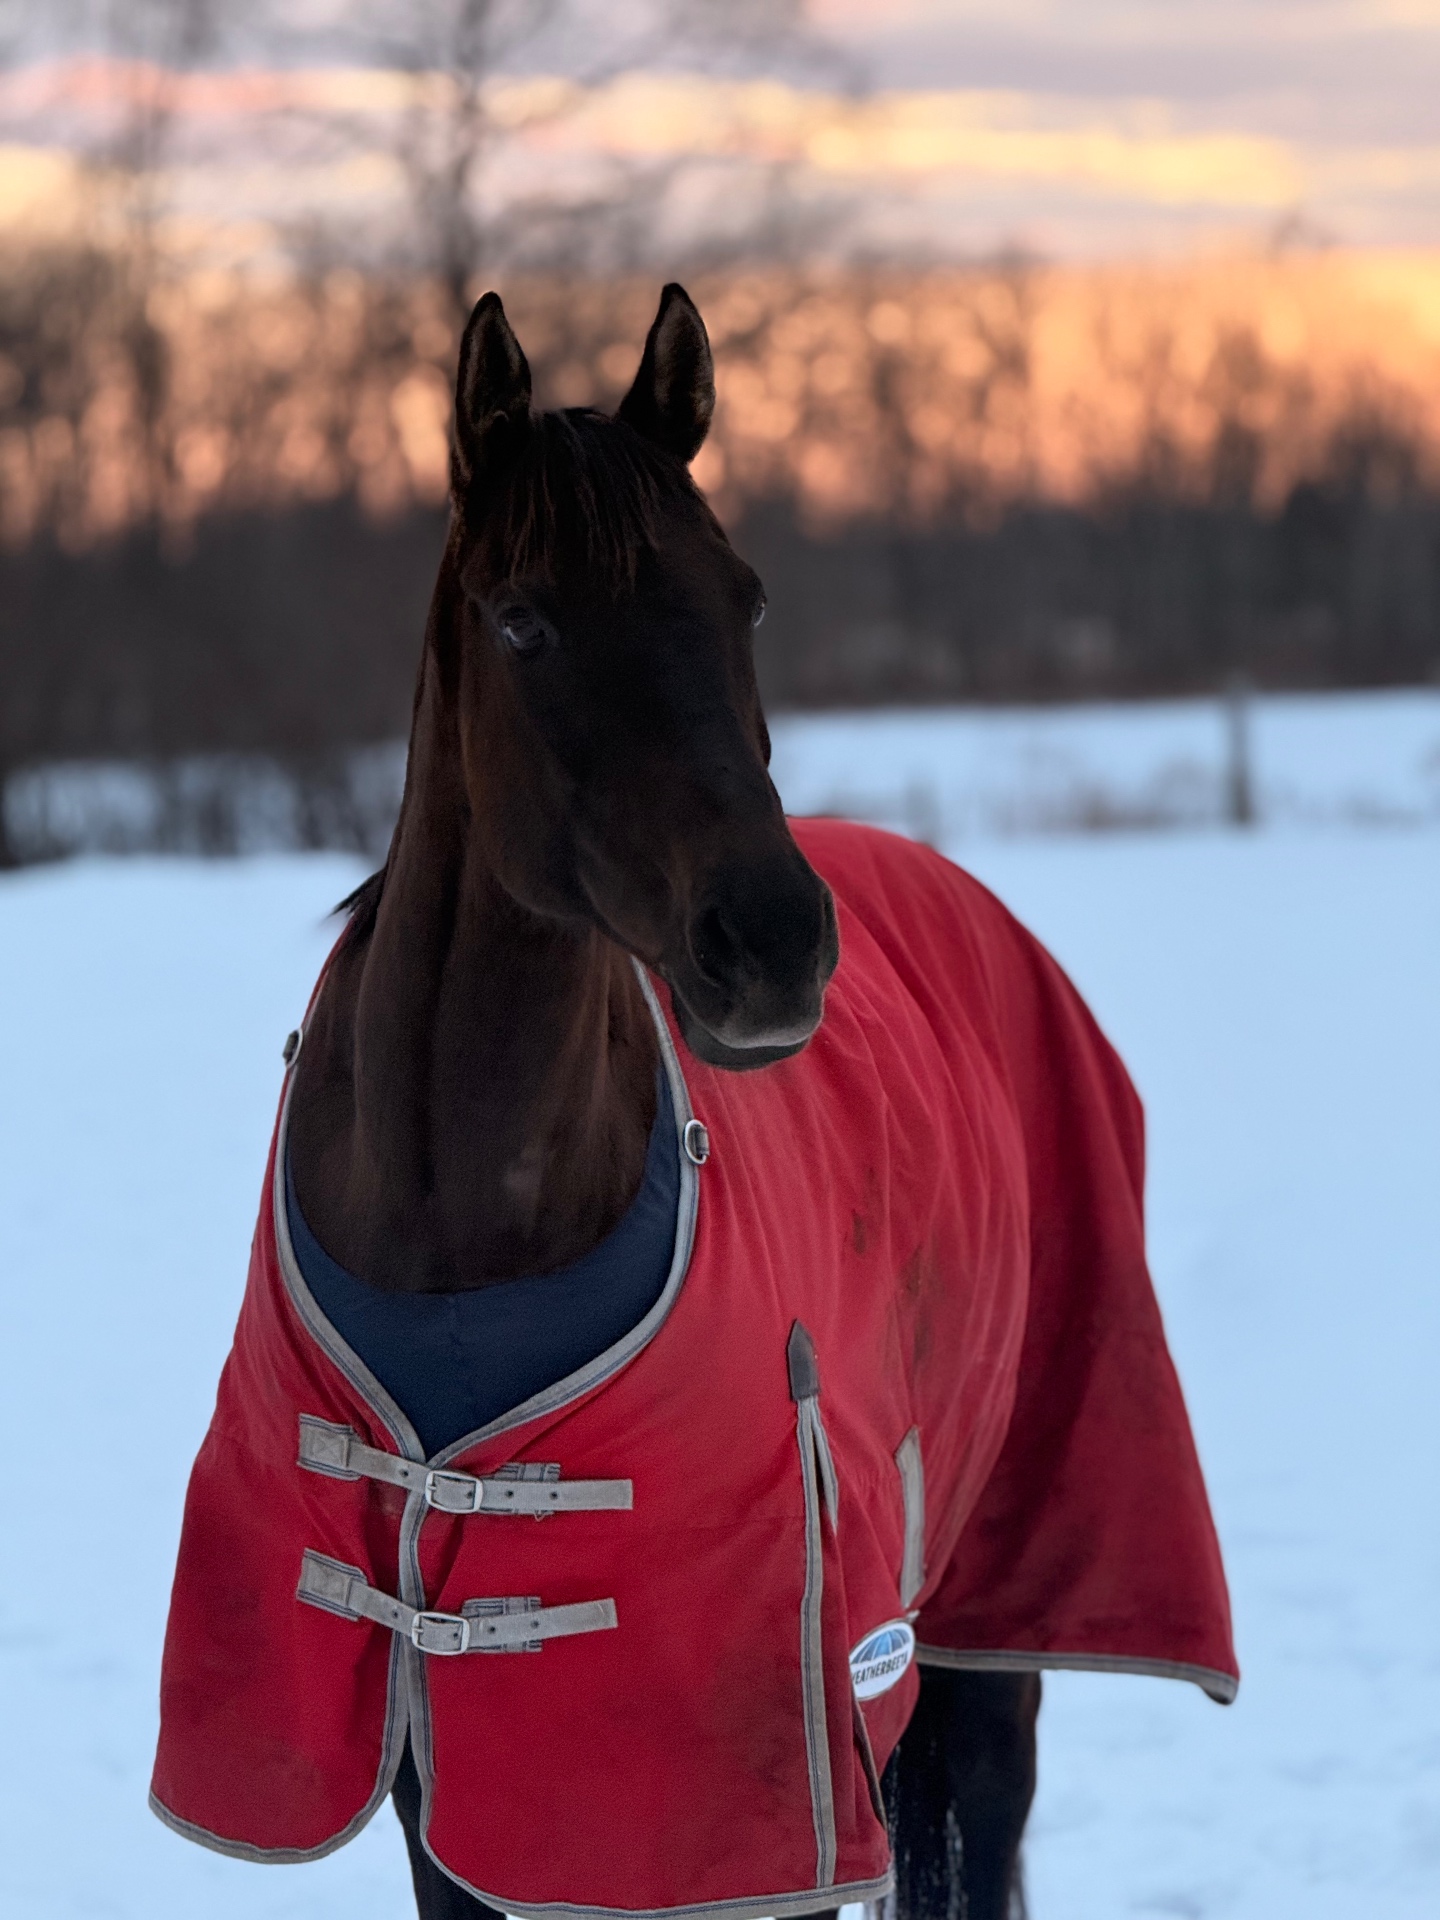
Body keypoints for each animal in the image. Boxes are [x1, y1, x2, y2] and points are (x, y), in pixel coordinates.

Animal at [151, 284, 1235, 1920]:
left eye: (748, 599)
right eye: (522, 618)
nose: (773, 945)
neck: (465, 1235)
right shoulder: (434, 1778)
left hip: (986, 1633)